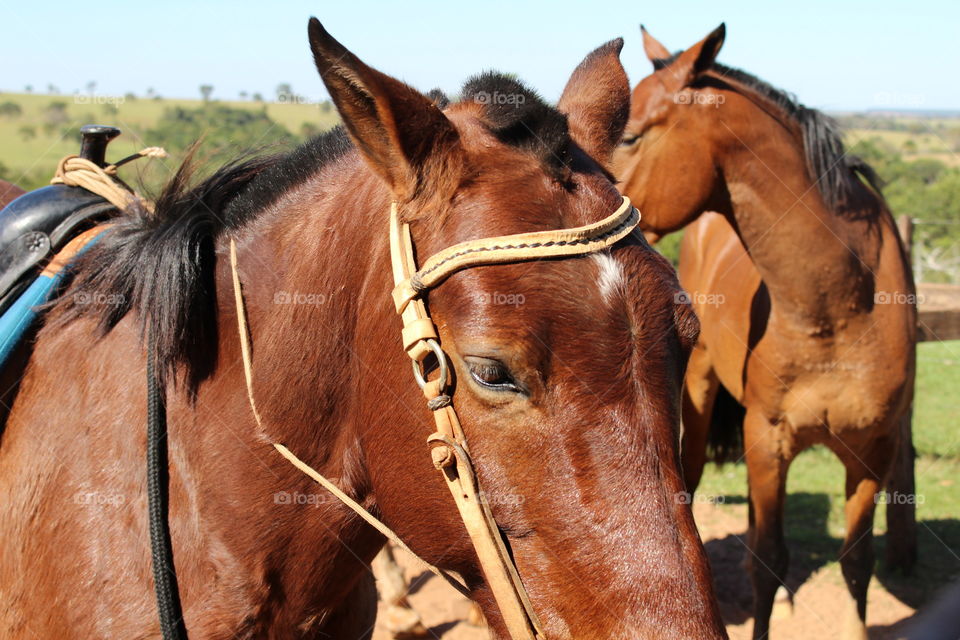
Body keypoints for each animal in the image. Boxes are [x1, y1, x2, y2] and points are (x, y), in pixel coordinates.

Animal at [612, 25, 916, 640]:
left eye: (631, 136)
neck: (837, 308)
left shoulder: (872, 451)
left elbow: (857, 563)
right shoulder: (768, 437)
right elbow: (768, 560)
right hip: (703, 397)